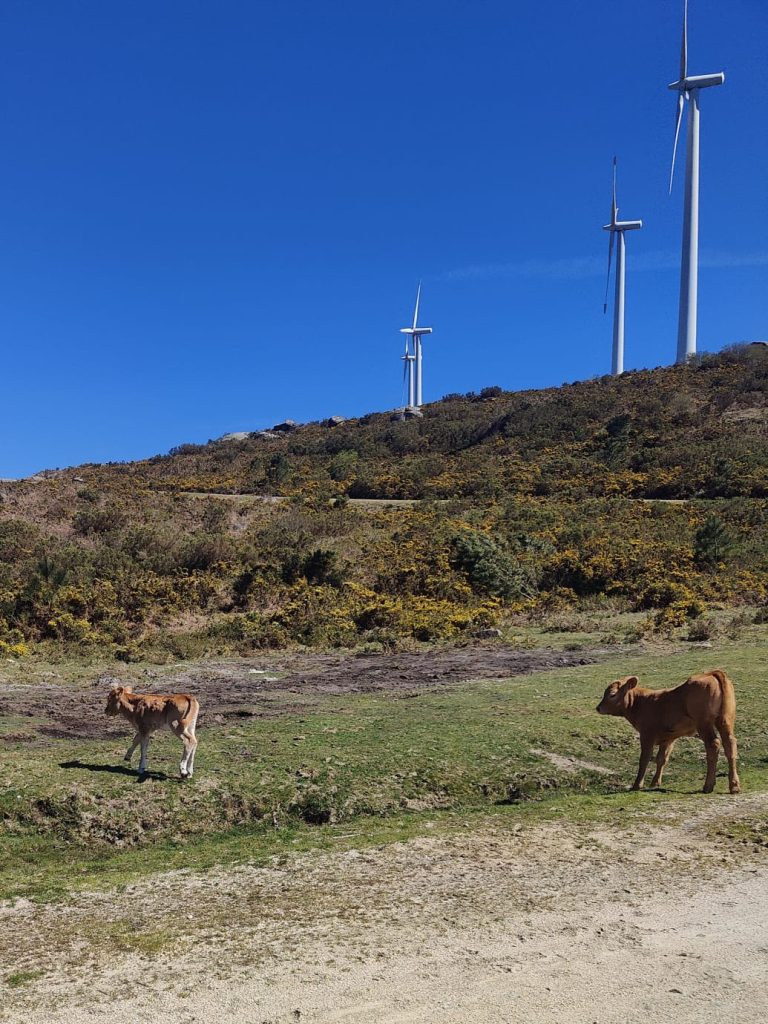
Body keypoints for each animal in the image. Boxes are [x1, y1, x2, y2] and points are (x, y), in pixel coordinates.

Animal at [596, 669, 740, 794]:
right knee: (730, 744)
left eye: (612, 694)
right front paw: (655, 783)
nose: (598, 708)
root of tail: (711, 673)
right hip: (726, 720)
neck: (642, 702)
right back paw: (734, 785)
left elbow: (645, 758)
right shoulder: (669, 738)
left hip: (704, 723)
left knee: (713, 744)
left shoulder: (647, 734)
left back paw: (708, 785)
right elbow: (661, 758)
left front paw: (637, 785)